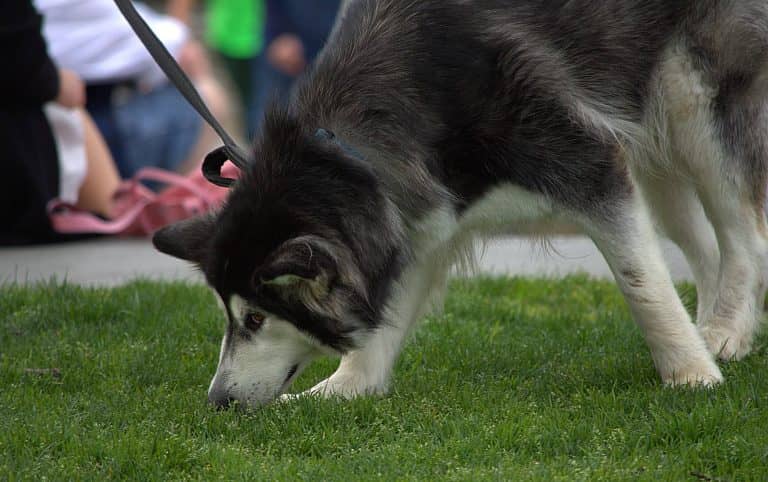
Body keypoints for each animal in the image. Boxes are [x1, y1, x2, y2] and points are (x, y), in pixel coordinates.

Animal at [153, 0, 768, 408]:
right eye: (227, 315)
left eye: (256, 317)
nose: (217, 401)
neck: (346, 152)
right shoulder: (418, 222)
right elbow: (383, 326)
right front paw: (343, 389)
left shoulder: (592, 165)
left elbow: (642, 285)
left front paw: (689, 374)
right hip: (653, 143)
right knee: (704, 247)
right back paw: (716, 326)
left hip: (691, 100)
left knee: (744, 236)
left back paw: (724, 334)